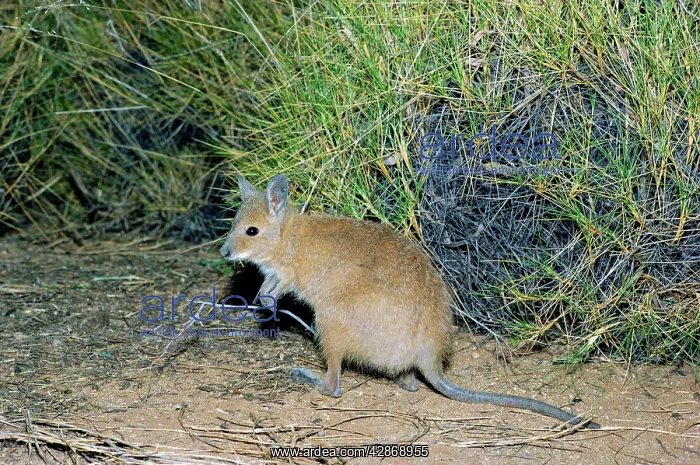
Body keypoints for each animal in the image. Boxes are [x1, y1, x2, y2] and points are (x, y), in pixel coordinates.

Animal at [219, 174, 600, 429]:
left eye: (251, 231)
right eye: (236, 225)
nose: (224, 252)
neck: (286, 236)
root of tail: (428, 356)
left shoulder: (287, 273)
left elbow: (277, 286)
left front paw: (266, 304)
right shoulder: (275, 273)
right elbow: (267, 284)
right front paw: (261, 303)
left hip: (330, 319)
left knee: (334, 387)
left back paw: (305, 376)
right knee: (411, 383)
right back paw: (403, 380)